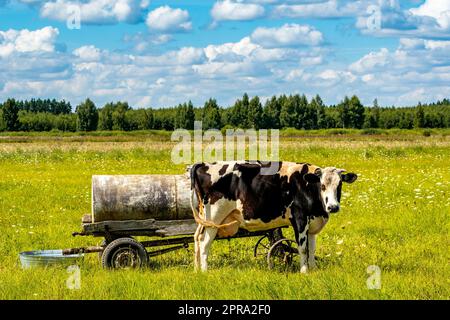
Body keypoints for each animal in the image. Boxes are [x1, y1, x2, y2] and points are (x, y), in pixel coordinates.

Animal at [188, 160, 356, 272]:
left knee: (197, 238)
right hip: (214, 217)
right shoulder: (300, 219)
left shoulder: (313, 223)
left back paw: (197, 269)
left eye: (339, 185)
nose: (333, 207)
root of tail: (203, 164)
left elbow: (312, 249)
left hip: (204, 219)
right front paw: (304, 271)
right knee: (204, 242)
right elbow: (302, 248)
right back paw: (205, 271)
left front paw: (313, 269)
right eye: (322, 185)